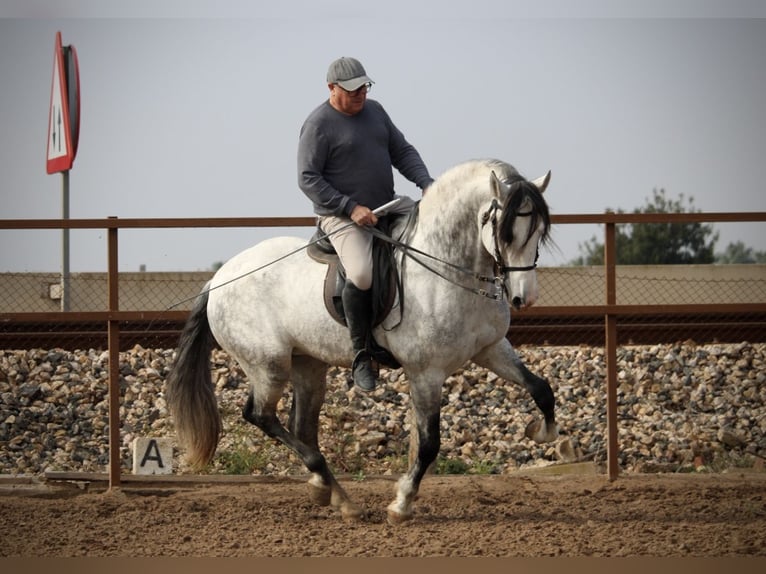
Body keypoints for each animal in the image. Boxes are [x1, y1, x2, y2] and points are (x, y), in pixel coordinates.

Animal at [166, 159, 560, 528]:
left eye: (539, 231)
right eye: (506, 232)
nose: (524, 298)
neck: (449, 269)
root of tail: (219, 279)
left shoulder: (490, 349)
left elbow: (542, 389)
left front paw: (543, 433)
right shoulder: (426, 373)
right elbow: (429, 444)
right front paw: (401, 504)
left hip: (308, 365)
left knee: (301, 428)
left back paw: (331, 493)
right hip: (268, 366)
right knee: (260, 415)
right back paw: (335, 492)